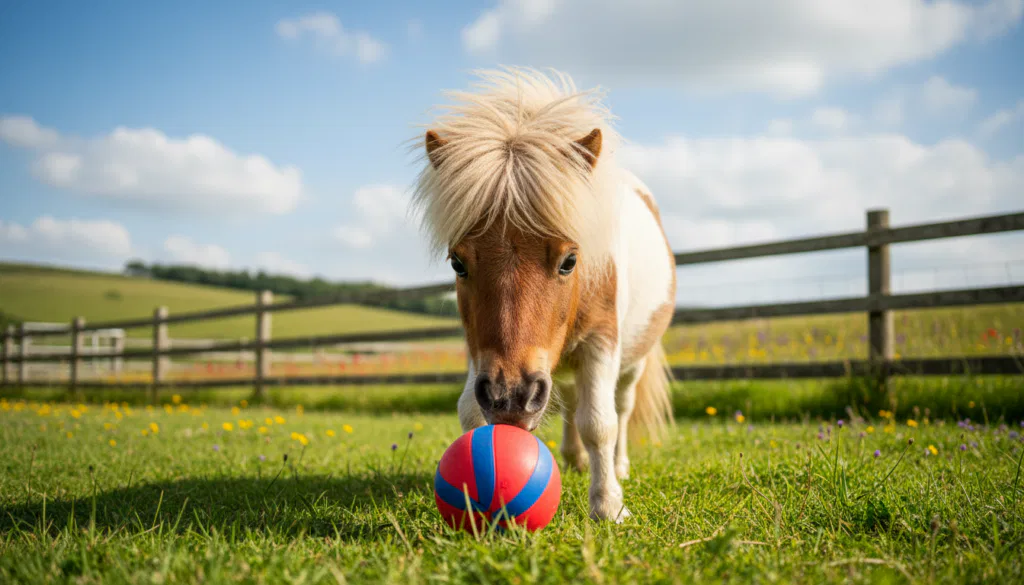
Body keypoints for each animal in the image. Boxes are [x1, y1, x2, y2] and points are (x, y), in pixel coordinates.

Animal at [412, 67, 677, 522]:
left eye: (569, 261)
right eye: (458, 263)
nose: (510, 398)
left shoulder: (601, 342)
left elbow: (600, 422)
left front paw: (608, 505)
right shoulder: (478, 351)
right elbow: (470, 410)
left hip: (633, 360)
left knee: (621, 407)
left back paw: (619, 465)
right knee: (571, 400)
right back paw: (574, 458)